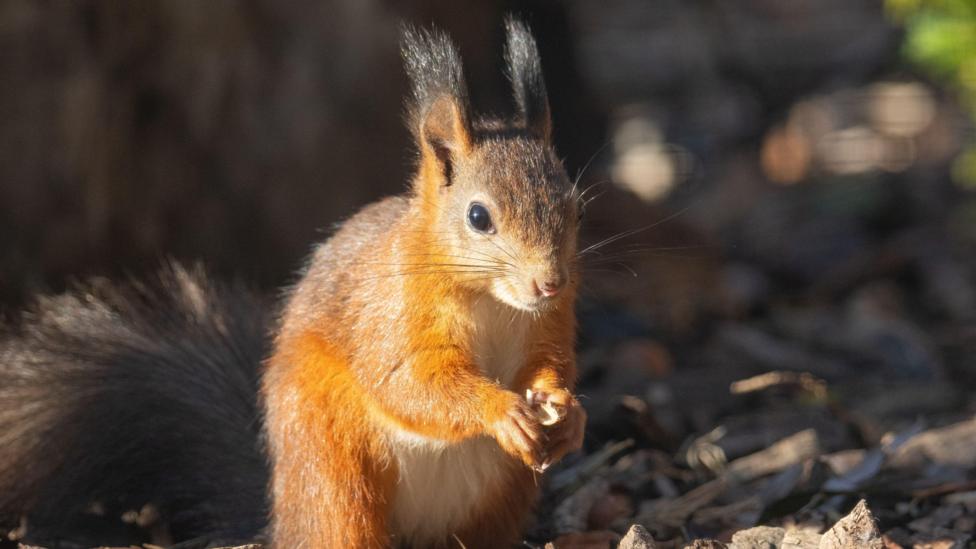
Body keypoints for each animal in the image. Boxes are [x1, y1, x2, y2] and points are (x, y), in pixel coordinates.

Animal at [0, 18, 584, 549]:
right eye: (478, 217)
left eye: (573, 205)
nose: (549, 283)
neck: (495, 303)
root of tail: (280, 515)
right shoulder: (392, 315)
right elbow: (412, 384)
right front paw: (502, 411)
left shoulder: (550, 324)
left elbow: (550, 365)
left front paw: (568, 412)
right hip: (329, 459)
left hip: (500, 495)